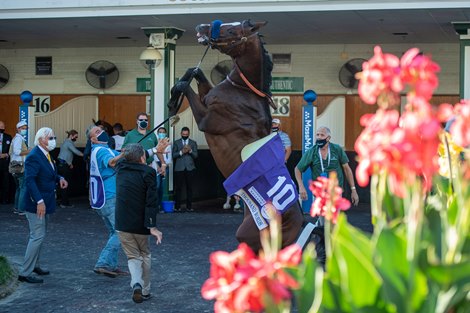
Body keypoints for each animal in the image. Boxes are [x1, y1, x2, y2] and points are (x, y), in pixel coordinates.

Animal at [169, 20, 304, 251]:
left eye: (232, 29)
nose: (202, 26)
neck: (242, 92)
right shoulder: (207, 96)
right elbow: (195, 72)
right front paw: (172, 99)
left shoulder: (206, 118)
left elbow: (184, 86)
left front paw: (173, 98)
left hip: (250, 237)